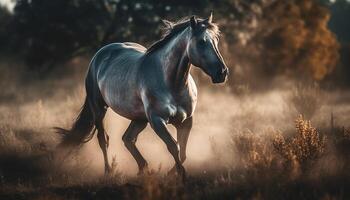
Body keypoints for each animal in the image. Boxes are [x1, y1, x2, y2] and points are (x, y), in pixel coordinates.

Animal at [56, 13, 228, 180]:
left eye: (216, 40)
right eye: (201, 42)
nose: (222, 73)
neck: (172, 83)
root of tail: (100, 54)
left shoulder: (186, 121)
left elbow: (183, 152)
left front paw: (171, 173)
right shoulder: (157, 121)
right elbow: (174, 146)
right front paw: (181, 175)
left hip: (139, 118)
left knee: (128, 139)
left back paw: (143, 168)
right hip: (99, 108)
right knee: (103, 139)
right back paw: (109, 171)